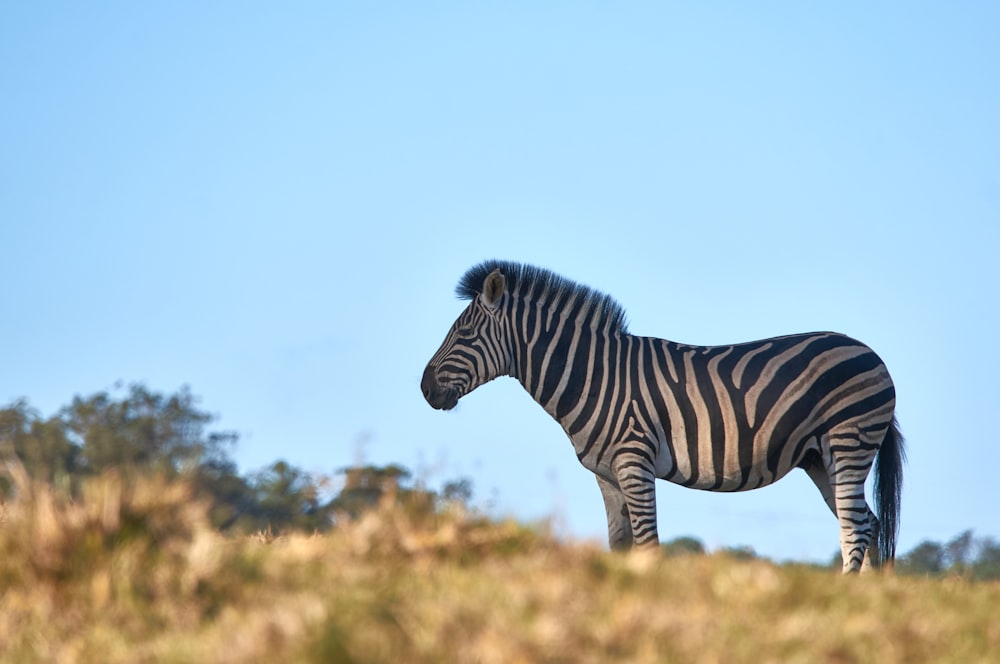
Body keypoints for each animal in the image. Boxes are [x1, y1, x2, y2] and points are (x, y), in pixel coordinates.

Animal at [418, 260, 904, 572]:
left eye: (463, 334)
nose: (424, 389)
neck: (594, 375)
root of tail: (872, 355)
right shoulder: (607, 475)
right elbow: (619, 547)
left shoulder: (635, 463)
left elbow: (649, 547)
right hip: (820, 459)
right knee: (867, 523)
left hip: (848, 442)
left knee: (856, 527)